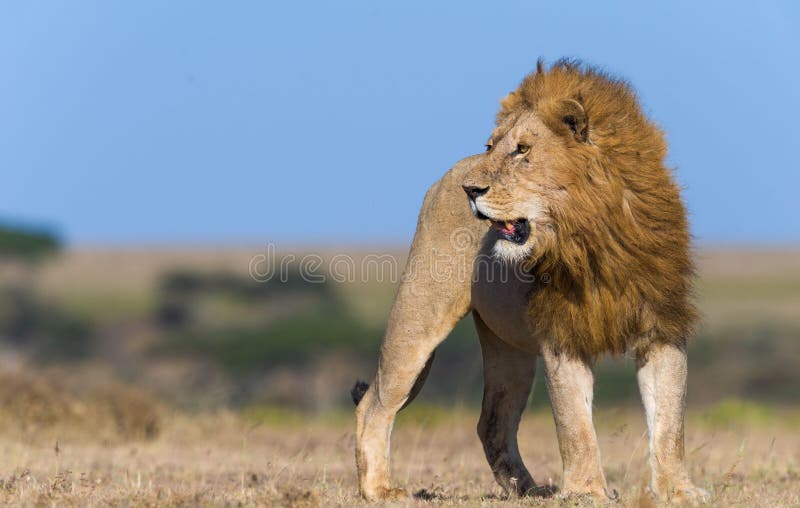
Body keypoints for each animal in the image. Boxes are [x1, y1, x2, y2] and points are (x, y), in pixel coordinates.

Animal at [353, 59, 708, 504]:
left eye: (522, 149)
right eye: (491, 146)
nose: (471, 189)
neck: (592, 236)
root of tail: (449, 174)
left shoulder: (661, 326)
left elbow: (670, 421)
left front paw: (678, 491)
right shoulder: (563, 332)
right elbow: (575, 424)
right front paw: (586, 492)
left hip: (511, 352)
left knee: (492, 421)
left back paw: (527, 489)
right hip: (418, 319)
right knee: (374, 403)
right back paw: (379, 489)